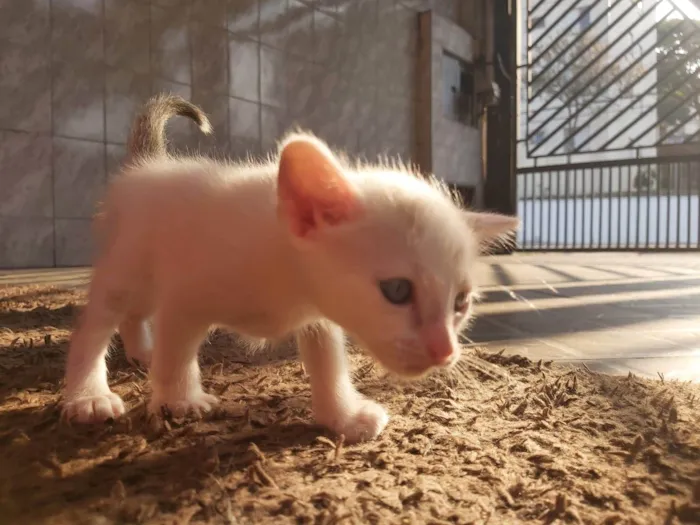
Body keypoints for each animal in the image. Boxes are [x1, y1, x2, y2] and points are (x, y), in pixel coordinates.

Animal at [61, 93, 520, 442]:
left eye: (460, 303)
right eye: (398, 291)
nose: (444, 351)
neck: (285, 271)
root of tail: (148, 165)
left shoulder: (318, 314)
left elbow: (328, 361)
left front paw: (342, 416)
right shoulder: (186, 294)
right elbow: (177, 349)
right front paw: (180, 399)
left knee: (134, 313)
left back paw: (141, 350)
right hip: (127, 264)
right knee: (95, 325)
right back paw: (88, 395)